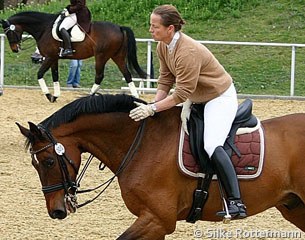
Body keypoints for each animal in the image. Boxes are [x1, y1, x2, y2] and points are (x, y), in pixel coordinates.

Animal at [0, 11, 146, 101]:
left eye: (9, 32)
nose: (15, 49)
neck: (44, 28)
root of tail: (119, 27)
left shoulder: (49, 57)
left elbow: (40, 74)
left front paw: (48, 95)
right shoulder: (54, 58)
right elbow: (55, 76)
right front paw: (55, 96)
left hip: (101, 56)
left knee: (99, 76)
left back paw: (88, 96)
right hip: (117, 56)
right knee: (127, 74)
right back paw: (135, 98)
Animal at [17, 93, 305, 238]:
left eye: (49, 161)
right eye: (34, 164)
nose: (56, 211)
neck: (141, 143)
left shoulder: (157, 219)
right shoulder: (155, 221)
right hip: (293, 207)